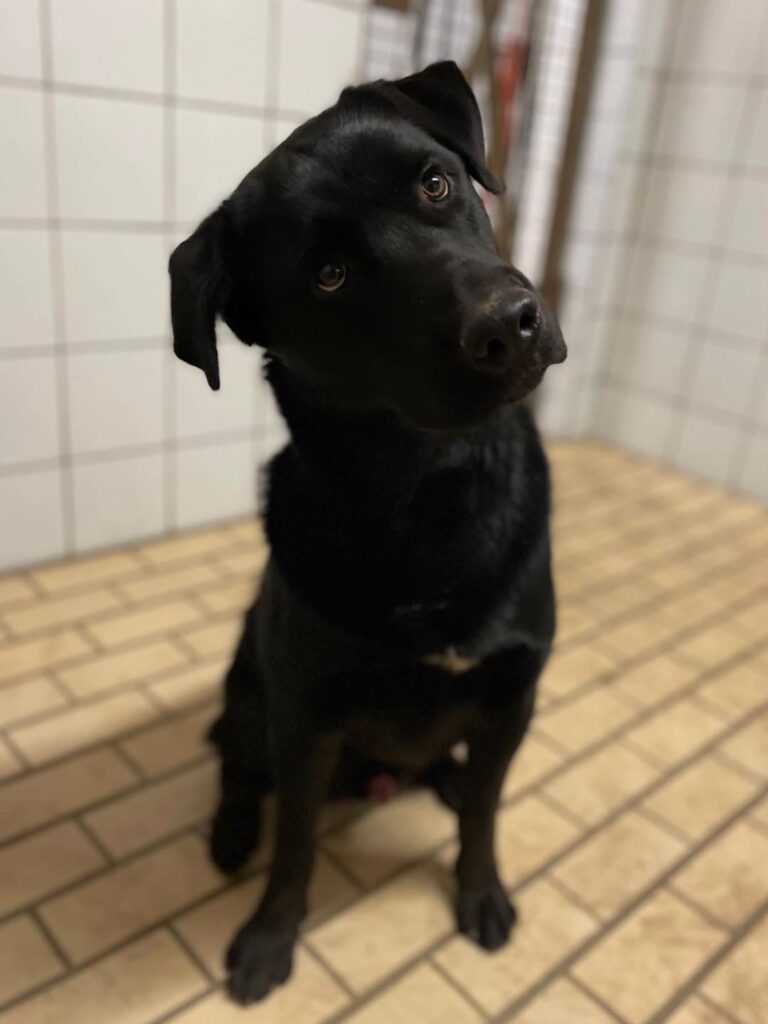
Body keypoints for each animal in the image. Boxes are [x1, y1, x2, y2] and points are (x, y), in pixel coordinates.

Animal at [169, 60, 566, 1005]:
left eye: (437, 183)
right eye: (330, 276)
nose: (509, 327)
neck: (429, 503)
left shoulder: (514, 693)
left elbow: (488, 815)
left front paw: (481, 892)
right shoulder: (305, 717)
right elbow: (296, 841)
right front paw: (271, 937)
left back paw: (446, 780)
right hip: (250, 692)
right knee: (238, 770)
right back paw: (231, 832)